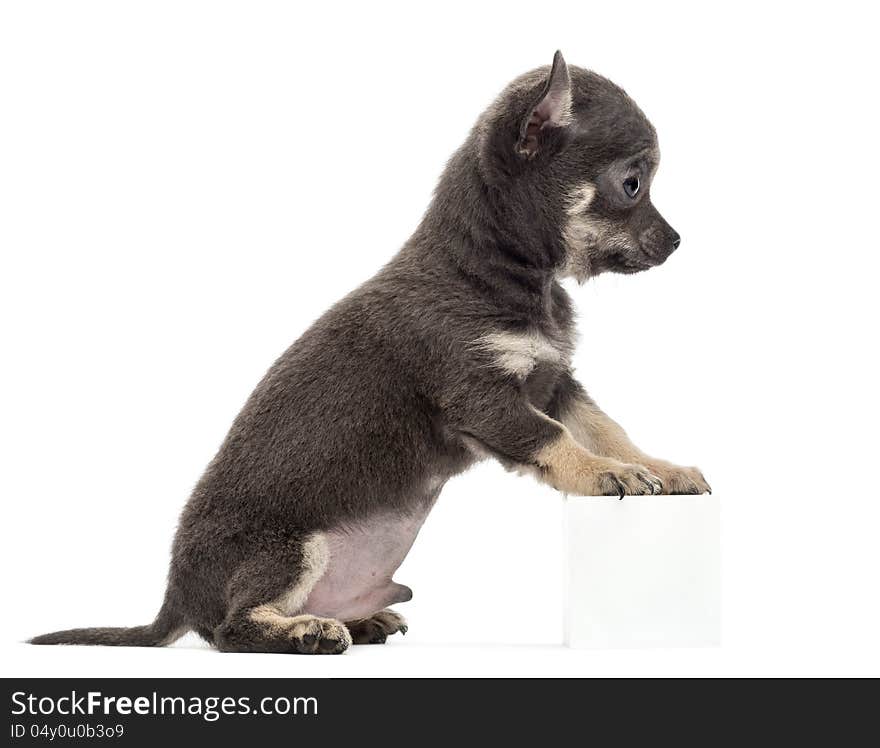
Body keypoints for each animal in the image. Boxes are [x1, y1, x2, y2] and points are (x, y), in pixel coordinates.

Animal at [32, 49, 708, 652]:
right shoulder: (486, 398)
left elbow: (606, 426)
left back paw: (358, 622)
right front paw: (605, 474)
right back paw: (306, 633)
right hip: (289, 549)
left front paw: (660, 467)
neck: (498, 273)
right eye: (632, 184)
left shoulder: (554, 381)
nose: (677, 240)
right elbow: (558, 440)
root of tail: (174, 600)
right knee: (231, 630)